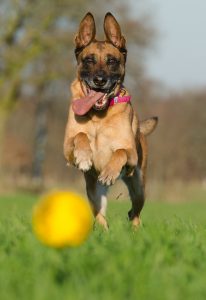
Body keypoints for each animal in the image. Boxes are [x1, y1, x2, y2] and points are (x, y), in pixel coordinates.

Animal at [63, 11, 157, 227]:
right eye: (89, 60)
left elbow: (120, 151)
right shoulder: (66, 151)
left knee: (134, 213)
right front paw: (84, 156)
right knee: (100, 216)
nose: (99, 80)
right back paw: (103, 231)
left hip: (139, 187)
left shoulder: (131, 154)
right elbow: (80, 135)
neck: (99, 117)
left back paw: (134, 229)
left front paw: (109, 172)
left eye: (111, 61)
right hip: (93, 193)